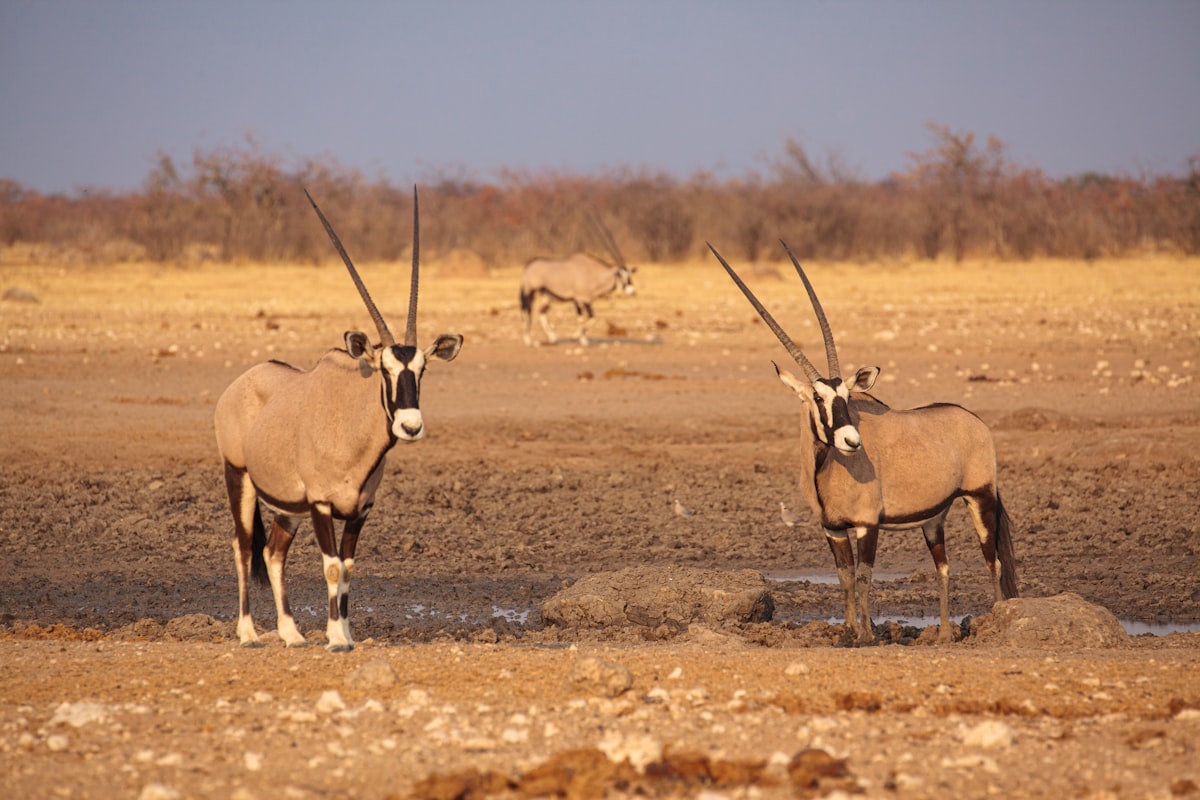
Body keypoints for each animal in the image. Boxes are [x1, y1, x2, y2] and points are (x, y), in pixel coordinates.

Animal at [214, 188, 463, 651]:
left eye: (422, 370)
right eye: (384, 369)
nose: (410, 426)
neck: (352, 428)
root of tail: (241, 383)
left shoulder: (360, 508)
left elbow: (347, 568)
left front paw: (345, 631)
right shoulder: (322, 503)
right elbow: (331, 566)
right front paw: (334, 637)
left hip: (287, 507)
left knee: (274, 552)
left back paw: (291, 633)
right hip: (239, 476)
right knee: (242, 546)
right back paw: (248, 632)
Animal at [519, 215, 636, 345]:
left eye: (630, 275)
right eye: (622, 276)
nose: (633, 291)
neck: (592, 273)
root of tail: (529, 265)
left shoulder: (585, 301)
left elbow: (589, 318)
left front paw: (582, 339)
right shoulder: (580, 300)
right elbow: (586, 319)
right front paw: (577, 337)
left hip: (547, 297)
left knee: (541, 313)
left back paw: (552, 337)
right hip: (530, 293)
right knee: (527, 312)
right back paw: (528, 340)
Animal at [709, 241, 1018, 644]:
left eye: (846, 396)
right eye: (819, 398)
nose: (851, 440)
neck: (825, 470)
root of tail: (974, 420)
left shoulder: (867, 525)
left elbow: (863, 577)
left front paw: (867, 634)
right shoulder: (834, 529)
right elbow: (844, 579)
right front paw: (849, 630)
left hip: (980, 498)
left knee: (992, 560)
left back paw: (995, 619)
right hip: (935, 517)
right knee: (944, 567)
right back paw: (944, 634)